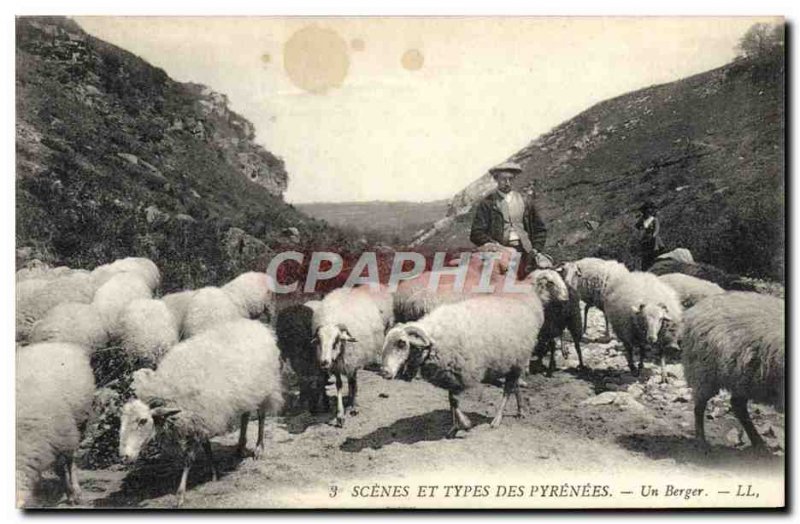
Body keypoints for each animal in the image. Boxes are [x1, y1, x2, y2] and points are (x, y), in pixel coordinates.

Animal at [117, 318, 282, 506]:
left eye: (143, 421)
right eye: (122, 421)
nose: (124, 456)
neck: (170, 390)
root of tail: (259, 326)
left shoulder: (201, 417)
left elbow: (189, 459)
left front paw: (181, 494)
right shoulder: (201, 418)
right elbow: (207, 447)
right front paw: (214, 473)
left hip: (266, 388)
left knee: (261, 416)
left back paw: (258, 448)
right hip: (247, 392)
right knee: (245, 415)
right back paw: (240, 446)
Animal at [312, 286, 388, 426]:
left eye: (336, 341)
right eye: (319, 341)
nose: (324, 362)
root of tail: (348, 289)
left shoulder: (352, 362)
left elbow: (353, 382)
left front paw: (353, 407)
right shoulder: (336, 366)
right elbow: (339, 385)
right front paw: (340, 415)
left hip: (356, 360)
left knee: (353, 380)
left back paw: (353, 402)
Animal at [382, 286, 544, 438]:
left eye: (402, 343)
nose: (384, 372)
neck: (434, 339)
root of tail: (524, 309)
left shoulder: (459, 373)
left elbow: (453, 400)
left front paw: (465, 425)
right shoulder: (449, 376)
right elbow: (451, 402)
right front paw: (455, 428)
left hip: (518, 361)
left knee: (508, 390)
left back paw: (497, 419)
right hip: (513, 362)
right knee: (515, 386)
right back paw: (520, 410)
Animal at [680, 292, 784, 448]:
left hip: (742, 378)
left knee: (737, 405)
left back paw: (758, 443)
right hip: (704, 371)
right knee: (699, 406)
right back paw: (701, 441)